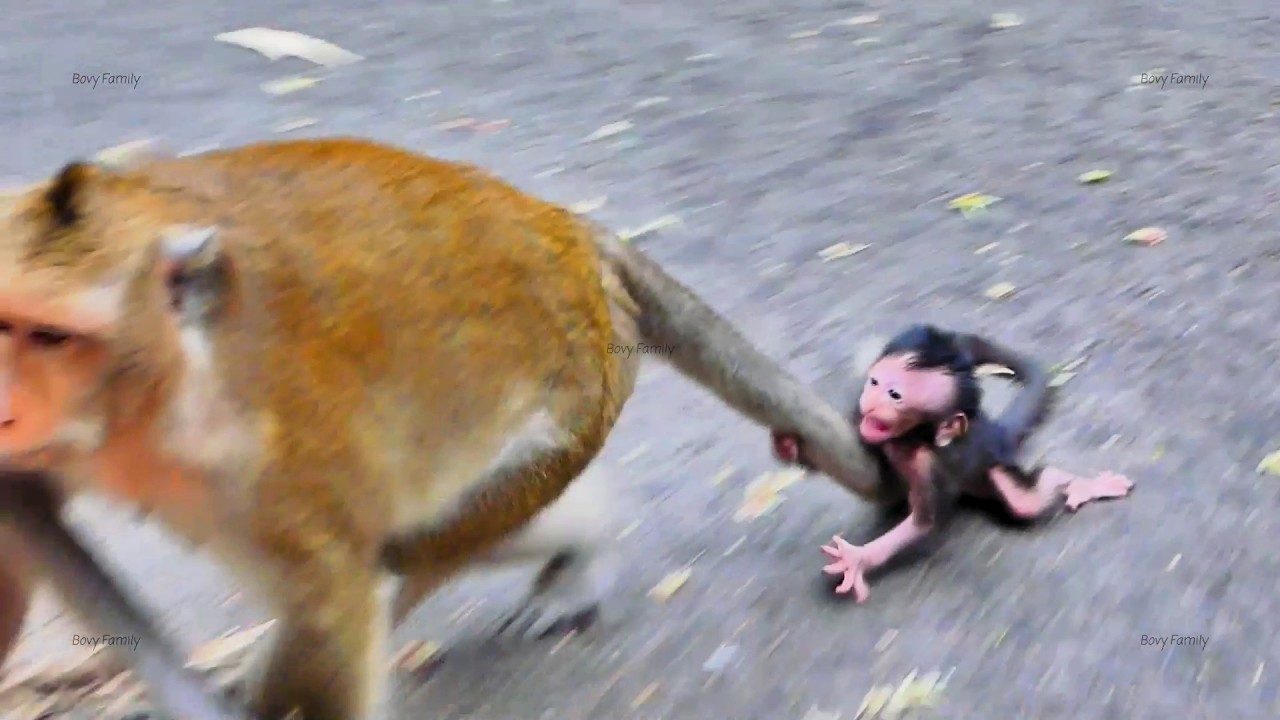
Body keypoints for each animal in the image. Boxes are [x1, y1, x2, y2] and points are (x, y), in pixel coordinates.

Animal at [772, 325, 1133, 602]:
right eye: (873, 382)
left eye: (894, 395)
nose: (871, 401)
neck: (910, 438)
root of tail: (995, 432)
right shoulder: (859, 420)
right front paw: (788, 445)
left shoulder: (929, 465)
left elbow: (923, 523)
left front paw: (860, 559)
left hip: (992, 465)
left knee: (1025, 502)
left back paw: (1082, 486)